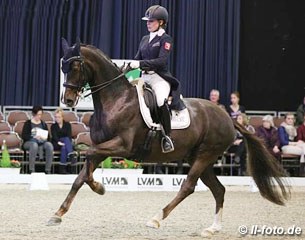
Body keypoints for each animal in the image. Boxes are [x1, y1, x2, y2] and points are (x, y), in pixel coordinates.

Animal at [47, 38, 288, 237]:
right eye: (62, 66)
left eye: (75, 66)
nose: (68, 100)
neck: (116, 100)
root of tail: (227, 116)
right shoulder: (103, 146)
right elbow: (80, 176)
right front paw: (58, 213)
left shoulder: (122, 147)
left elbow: (88, 155)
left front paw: (99, 187)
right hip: (201, 159)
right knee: (219, 190)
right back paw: (212, 228)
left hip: (205, 155)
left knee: (188, 186)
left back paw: (156, 218)